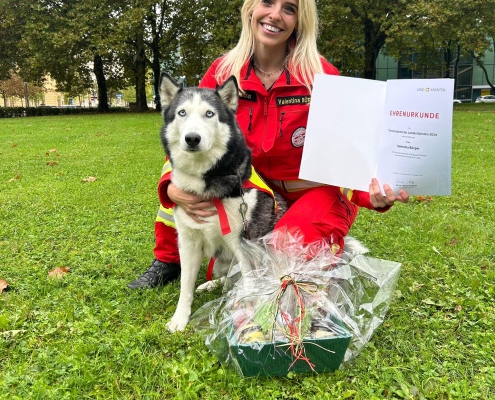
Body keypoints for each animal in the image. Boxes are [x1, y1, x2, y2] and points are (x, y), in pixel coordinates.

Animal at [159, 73, 287, 332]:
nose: (192, 138)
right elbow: (185, 287)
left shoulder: (243, 245)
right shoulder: (188, 243)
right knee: (225, 280)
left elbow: (249, 285)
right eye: (182, 113)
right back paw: (210, 285)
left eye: (210, 114)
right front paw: (180, 318)